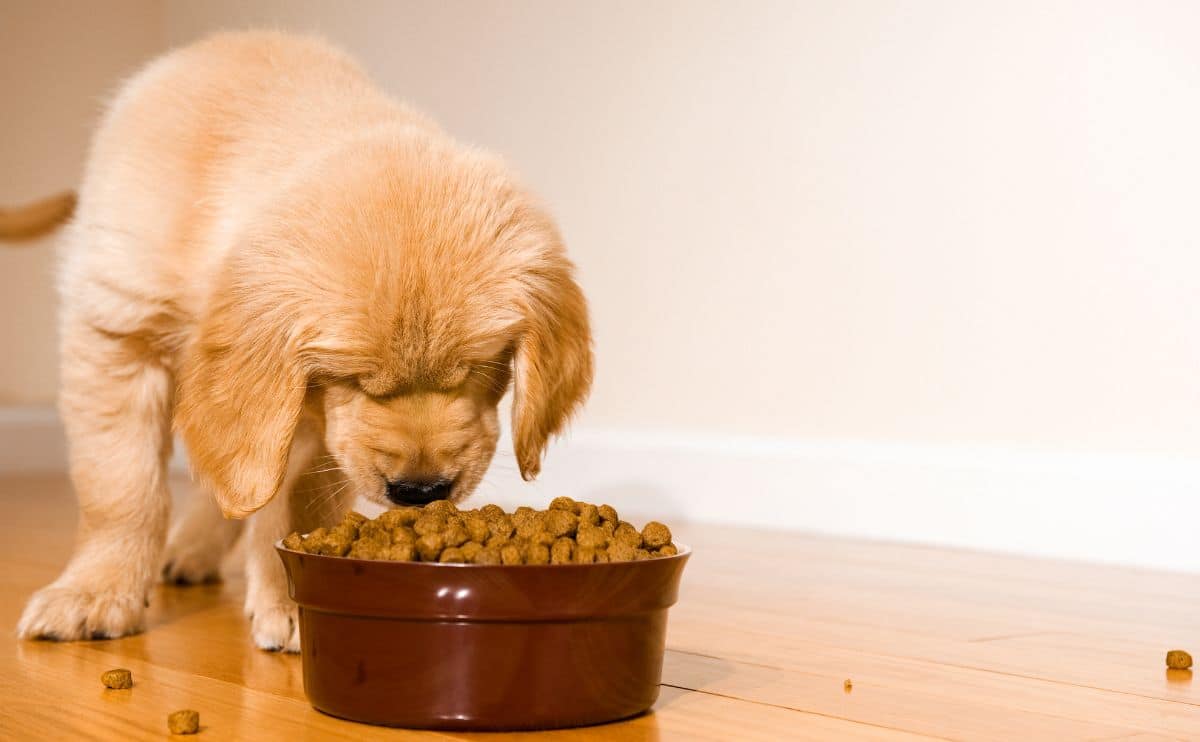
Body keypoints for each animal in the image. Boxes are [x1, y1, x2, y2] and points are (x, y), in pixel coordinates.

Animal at [16, 31, 597, 648]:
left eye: (482, 368)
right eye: (353, 378)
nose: (420, 492)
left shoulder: (312, 422)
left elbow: (293, 500)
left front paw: (291, 598)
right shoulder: (117, 329)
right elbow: (121, 487)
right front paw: (95, 593)